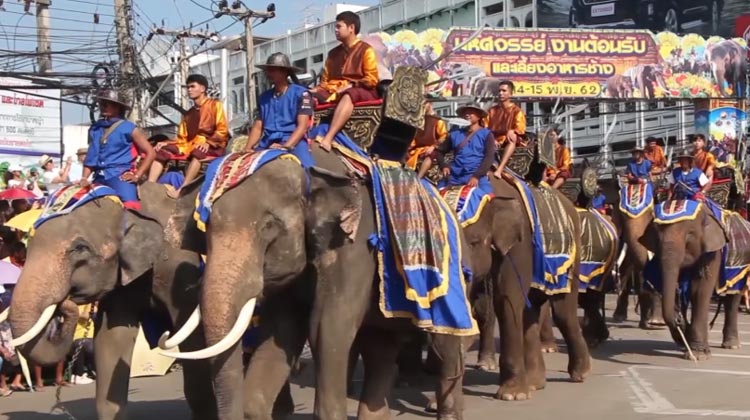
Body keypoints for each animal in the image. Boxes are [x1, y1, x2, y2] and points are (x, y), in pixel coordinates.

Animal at [7, 182, 217, 420]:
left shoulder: (178, 268)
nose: (65, 302)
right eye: (29, 242)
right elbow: (111, 338)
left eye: (80, 248)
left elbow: (193, 339)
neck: (132, 206)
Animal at [644, 202, 748, 360]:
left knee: (733, 298)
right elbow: (664, 285)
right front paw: (685, 341)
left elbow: (699, 291)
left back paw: (732, 345)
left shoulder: (712, 252)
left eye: (689, 234)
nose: (679, 321)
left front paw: (699, 355)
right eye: (656, 235)